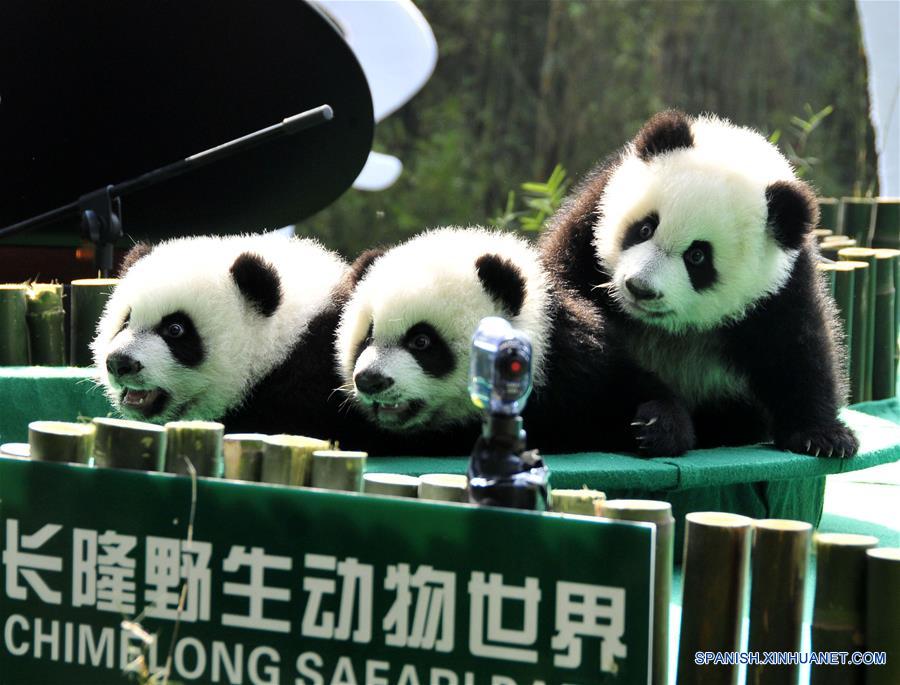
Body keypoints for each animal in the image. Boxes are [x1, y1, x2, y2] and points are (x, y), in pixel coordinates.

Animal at [335, 226, 694, 456]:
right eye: (366, 337)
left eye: (421, 341)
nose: (370, 380)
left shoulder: (571, 362)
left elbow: (619, 386)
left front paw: (654, 426)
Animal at [540, 110, 858, 458]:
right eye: (644, 228)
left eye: (697, 257)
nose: (640, 288)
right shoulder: (586, 227)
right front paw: (660, 420)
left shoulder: (781, 284)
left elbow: (797, 347)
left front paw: (825, 436)